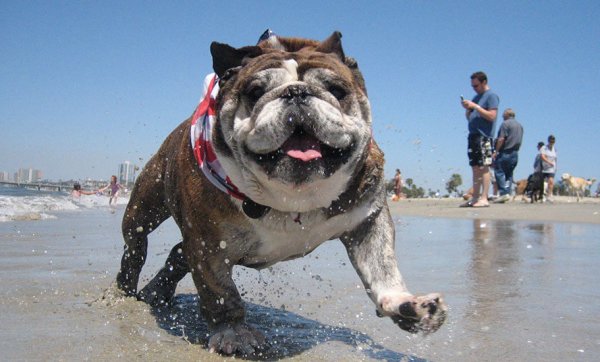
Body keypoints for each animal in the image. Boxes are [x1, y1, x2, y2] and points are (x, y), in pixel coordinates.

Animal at [116, 31, 446, 356]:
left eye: (337, 90)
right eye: (255, 91)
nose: (297, 92)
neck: (294, 196)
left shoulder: (368, 220)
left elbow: (382, 268)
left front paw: (404, 304)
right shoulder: (208, 244)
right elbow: (221, 293)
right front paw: (234, 332)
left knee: (177, 254)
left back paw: (157, 292)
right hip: (145, 206)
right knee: (136, 246)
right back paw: (126, 289)